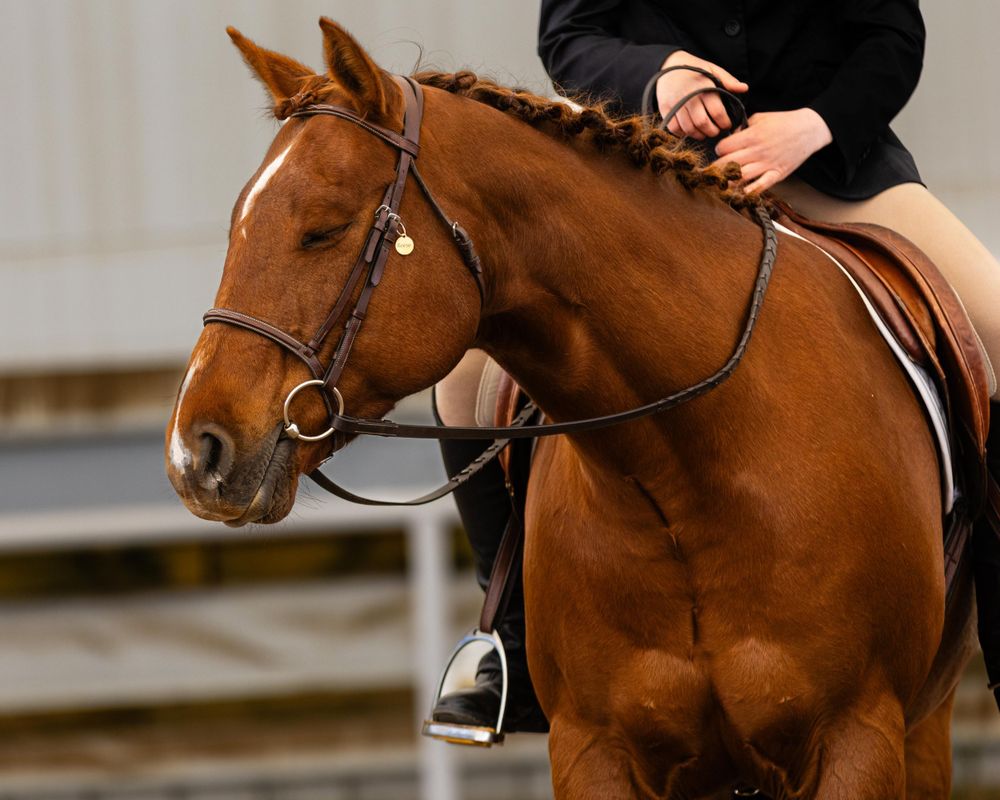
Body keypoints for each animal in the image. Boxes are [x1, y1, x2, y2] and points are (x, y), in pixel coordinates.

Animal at [165, 18, 978, 799]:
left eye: (324, 228)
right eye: (237, 224)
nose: (193, 453)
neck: (691, 477)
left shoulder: (857, 739)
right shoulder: (595, 750)